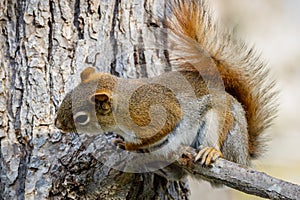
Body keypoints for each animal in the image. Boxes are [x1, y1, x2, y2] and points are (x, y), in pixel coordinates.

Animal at [54, 0, 276, 172]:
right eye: (67, 97)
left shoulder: (151, 114)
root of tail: (245, 155)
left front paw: (128, 145)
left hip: (222, 123)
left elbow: (160, 129)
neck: (123, 105)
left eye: (81, 118)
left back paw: (211, 151)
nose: (57, 125)